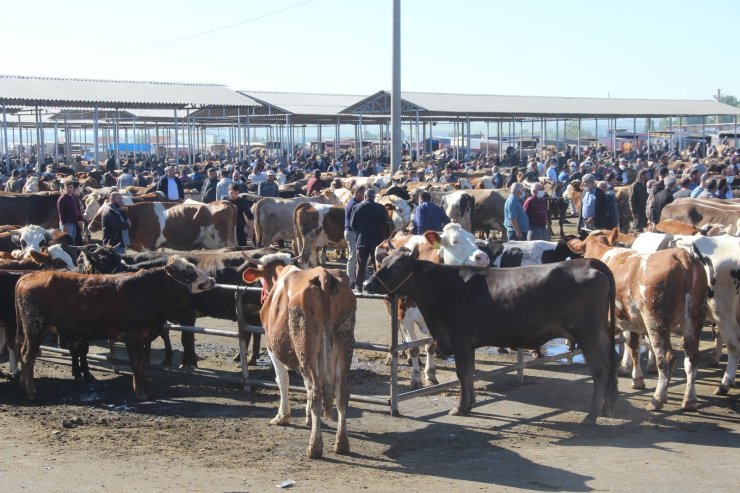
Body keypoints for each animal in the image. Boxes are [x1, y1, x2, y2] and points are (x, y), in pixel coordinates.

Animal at [15, 254, 215, 400]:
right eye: (188, 270)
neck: (147, 289)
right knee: (27, 356)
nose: (212, 280)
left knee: (25, 354)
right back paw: (31, 391)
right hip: (35, 329)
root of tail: (28, 276)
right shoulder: (133, 337)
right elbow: (137, 363)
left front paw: (146, 390)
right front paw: (140, 393)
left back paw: (25, 386)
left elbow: (142, 364)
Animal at [243, 256, 356, 460]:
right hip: (343, 342)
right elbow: (304, 384)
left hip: (305, 345)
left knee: (316, 391)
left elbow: (282, 380)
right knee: (340, 391)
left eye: (262, 279)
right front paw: (309, 418)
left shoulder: (272, 347)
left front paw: (282, 416)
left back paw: (314, 447)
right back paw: (342, 444)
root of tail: (324, 275)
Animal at [364, 248, 620, 420]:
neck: (442, 288)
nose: (367, 284)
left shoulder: (459, 339)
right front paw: (470, 403)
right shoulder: (467, 343)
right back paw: (607, 407)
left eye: (397, 266)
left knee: (599, 369)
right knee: (611, 363)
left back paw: (592, 415)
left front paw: (460, 406)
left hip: (587, 333)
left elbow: (461, 372)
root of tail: (588, 262)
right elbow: (468, 373)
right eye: (382, 261)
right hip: (600, 333)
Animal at [568, 231, 708, 412]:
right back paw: (690, 400)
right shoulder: (632, 321)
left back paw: (658, 399)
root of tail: (680, 254)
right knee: (691, 357)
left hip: (656, 321)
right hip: (694, 318)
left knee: (666, 358)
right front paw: (637, 380)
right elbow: (633, 346)